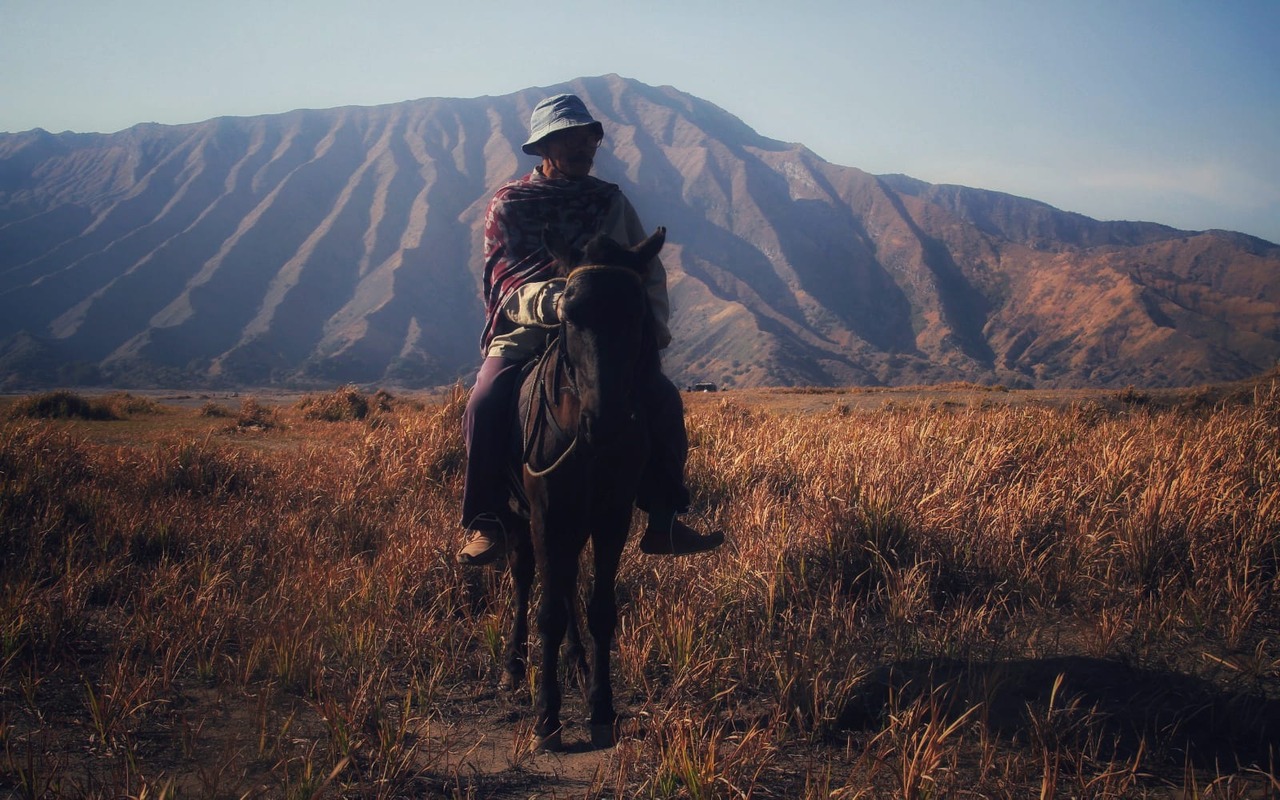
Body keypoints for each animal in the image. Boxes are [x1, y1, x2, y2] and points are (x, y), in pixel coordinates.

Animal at [499, 222, 665, 747]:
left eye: (636, 313)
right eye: (569, 315)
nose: (605, 423)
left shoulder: (612, 515)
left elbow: (600, 609)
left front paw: (601, 708)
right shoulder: (546, 514)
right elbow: (547, 611)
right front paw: (547, 717)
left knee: (568, 582)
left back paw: (576, 663)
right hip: (517, 517)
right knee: (525, 578)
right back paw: (513, 667)